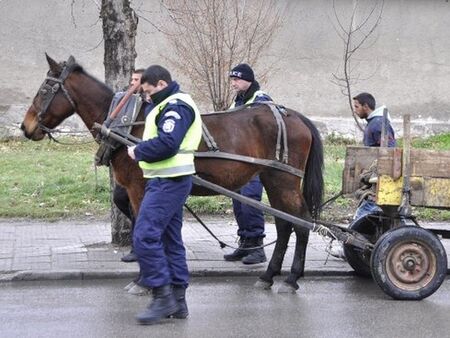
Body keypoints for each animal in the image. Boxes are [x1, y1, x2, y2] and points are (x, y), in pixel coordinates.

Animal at [22, 54, 324, 290]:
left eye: (45, 89)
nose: (26, 127)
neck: (127, 124)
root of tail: (293, 115)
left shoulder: (139, 188)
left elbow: (145, 226)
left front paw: (144, 280)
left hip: (284, 180)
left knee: (301, 223)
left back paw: (291, 278)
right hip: (272, 179)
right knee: (284, 225)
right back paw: (269, 275)